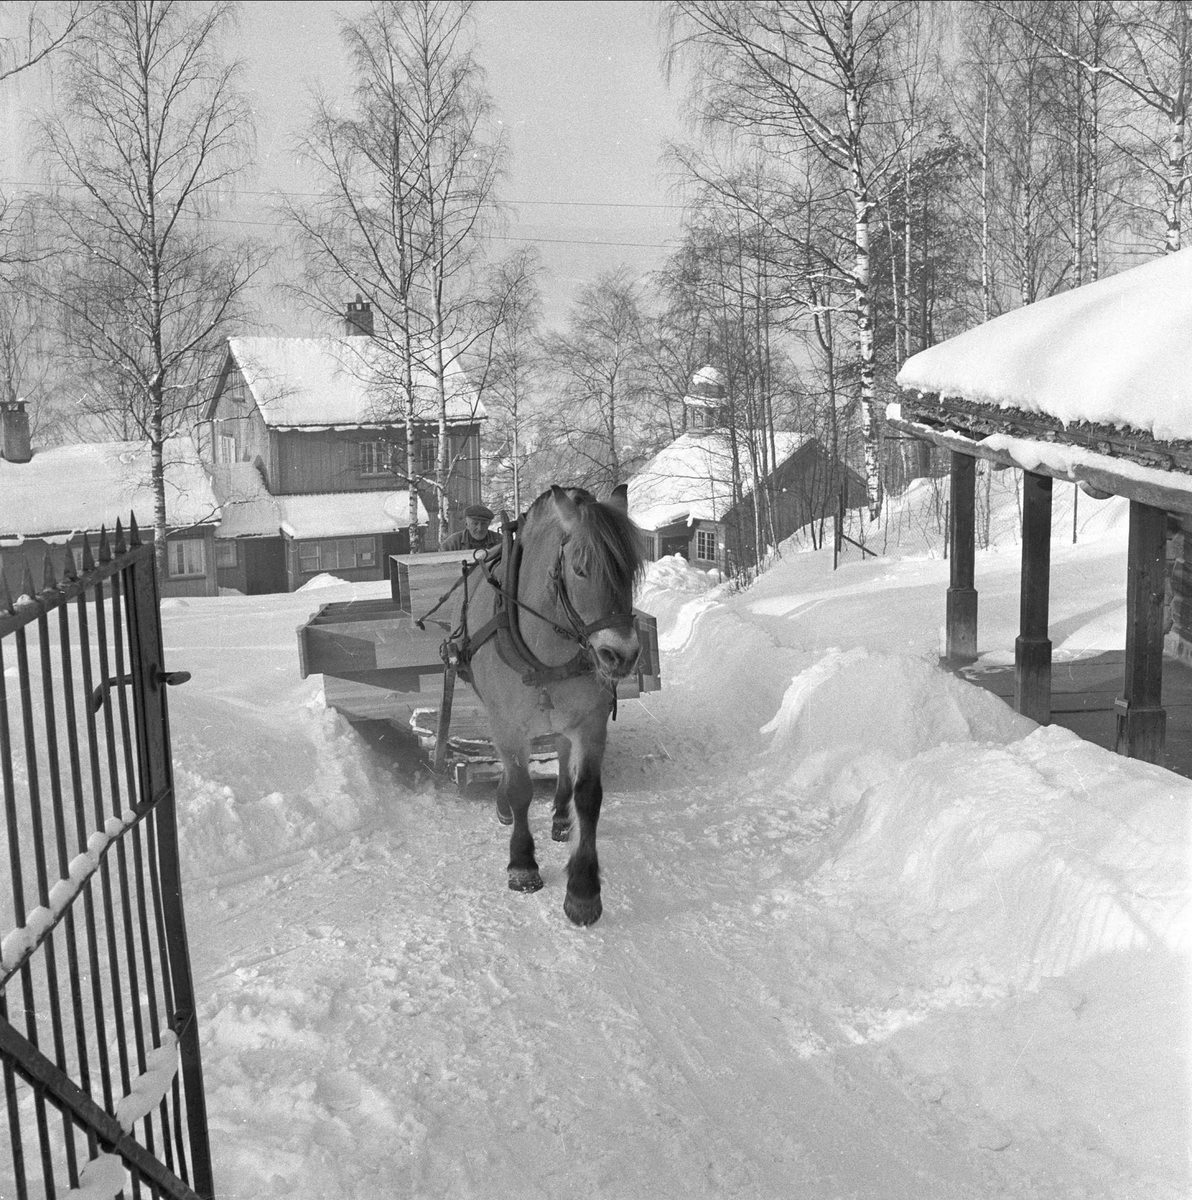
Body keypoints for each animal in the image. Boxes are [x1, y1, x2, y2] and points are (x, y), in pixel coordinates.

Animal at [451, 482, 648, 921]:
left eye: (630, 570)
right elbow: (521, 787)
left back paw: (560, 816)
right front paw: (522, 863)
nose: (621, 655)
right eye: (580, 568)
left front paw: (583, 889)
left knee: (561, 755)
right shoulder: (507, 724)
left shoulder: (592, 722)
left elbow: (588, 795)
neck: (548, 650)